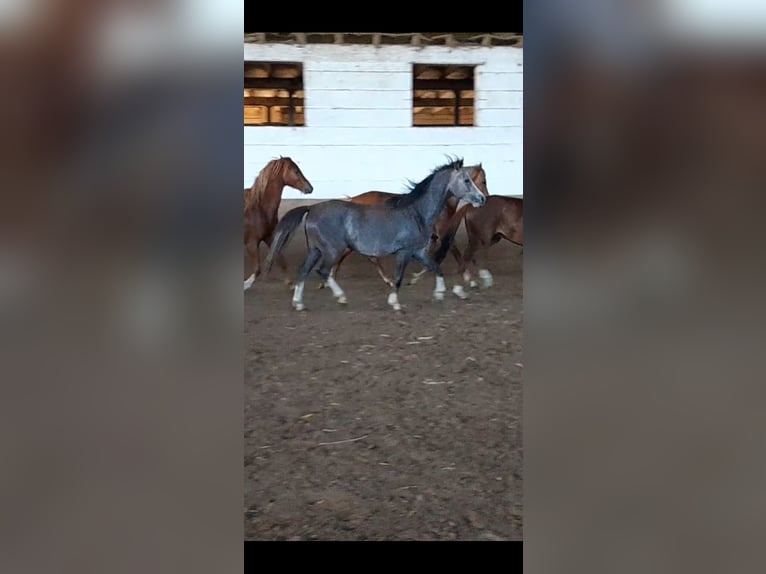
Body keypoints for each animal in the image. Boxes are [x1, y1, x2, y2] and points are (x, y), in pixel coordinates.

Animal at [248, 158, 316, 292]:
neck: (259, 207)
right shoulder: (251, 243)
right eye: (296, 171)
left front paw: (290, 284)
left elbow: (280, 259)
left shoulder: (269, 237)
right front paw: (245, 285)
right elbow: (257, 269)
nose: (310, 188)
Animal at [324, 164, 492, 290]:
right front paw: (470, 280)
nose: (485, 198)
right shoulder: (442, 233)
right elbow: (454, 253)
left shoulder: (431, 237)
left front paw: (415, 278)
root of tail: (354, 199)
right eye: (483, 181)